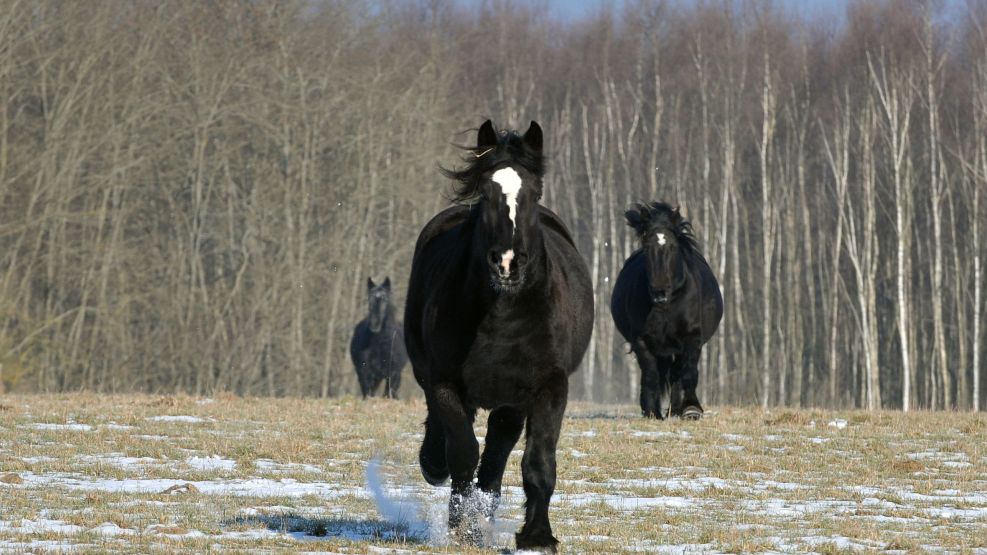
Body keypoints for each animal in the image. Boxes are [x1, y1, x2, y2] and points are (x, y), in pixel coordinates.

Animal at [404, 120, 592, 552]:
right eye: (486, 192)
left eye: (534, 193)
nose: (507, 263)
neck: (502, 312)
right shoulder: (445, 383)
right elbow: (462, 453)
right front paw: (461, 528)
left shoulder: (547, 388)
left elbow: (537, 462)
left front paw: (537, 536)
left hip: (510, 404)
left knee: (495, 459)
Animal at [608, 204, 724, 422]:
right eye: (647, 247)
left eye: (672, 246)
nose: (659, 291)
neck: (667, 306)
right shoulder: (642, 341)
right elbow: (651, 375)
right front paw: (652, 412)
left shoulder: (692, 338)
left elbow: (688, 373)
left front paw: (691, 409)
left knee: (676, 374)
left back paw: (677, 409)